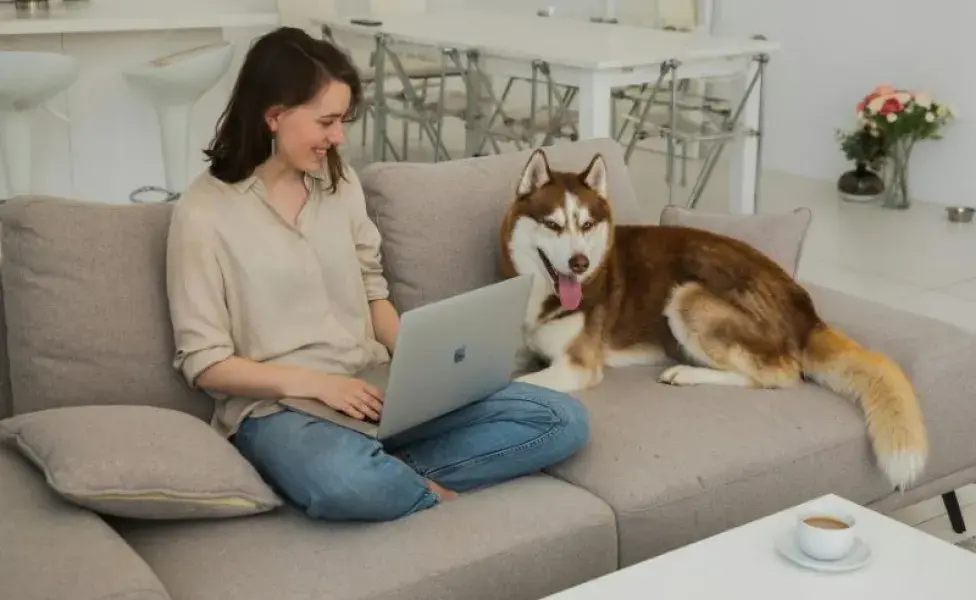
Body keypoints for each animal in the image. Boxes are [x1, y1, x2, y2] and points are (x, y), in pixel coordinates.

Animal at [504, 148, 932, 490]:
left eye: (587, 225)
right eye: (553, 224)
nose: (580, 262)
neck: (541, 292)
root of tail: (804, 309)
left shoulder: (575, 367)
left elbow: (521, 385)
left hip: (688, 297)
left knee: (779, 374)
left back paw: (687, 373)